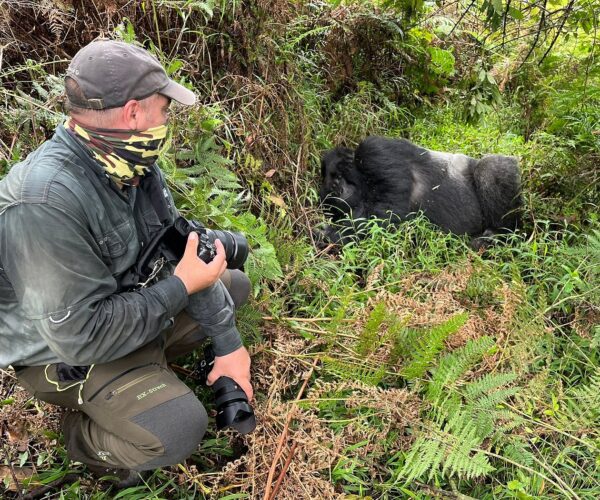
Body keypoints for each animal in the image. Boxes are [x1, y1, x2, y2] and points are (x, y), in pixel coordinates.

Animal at [318, 136, 520, 249]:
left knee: (490, 167)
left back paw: (498, 234)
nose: (339, 190)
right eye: (332, 191)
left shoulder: (374, 151)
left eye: (337, 177)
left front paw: (329, 235)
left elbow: (389, 212)